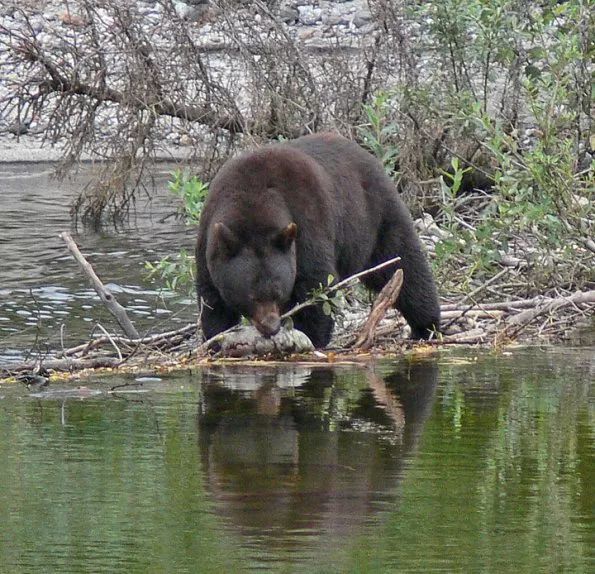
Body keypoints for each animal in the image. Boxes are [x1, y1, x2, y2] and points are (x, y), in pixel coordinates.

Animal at [197, 134, 442, 348]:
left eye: (278, 292)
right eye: (252, 297)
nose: (271, 327)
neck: (253, 199)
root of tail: (370, 155)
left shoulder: (306, 224)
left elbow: (316, 285)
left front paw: (311, 337)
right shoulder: (210, 239)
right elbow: (212, 300)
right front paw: (216, 340)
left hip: (375, 216)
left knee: (403, 263)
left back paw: (426, 325)